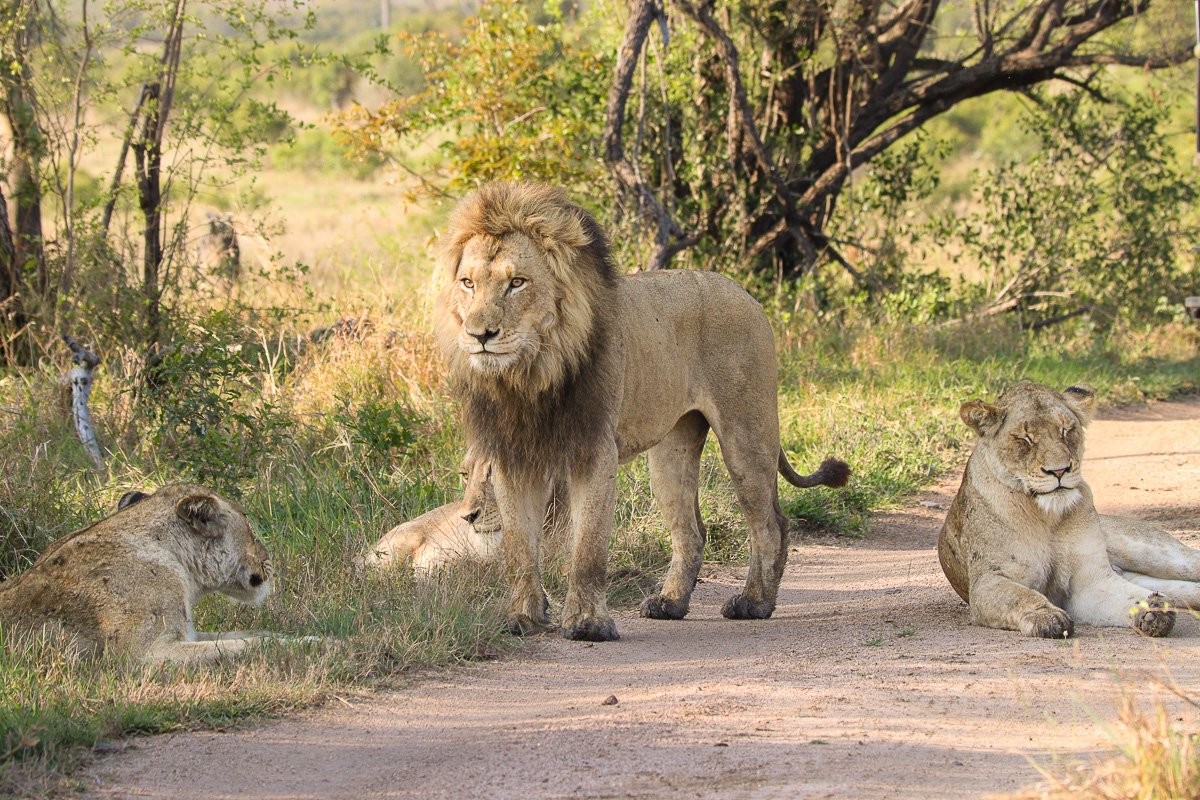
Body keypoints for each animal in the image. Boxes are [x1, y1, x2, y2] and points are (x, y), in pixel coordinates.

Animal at [0, 483, 285, 664]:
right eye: (247, 521)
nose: (269, 558)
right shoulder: (146, 653)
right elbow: (249, 645)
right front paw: (296, 644)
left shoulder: (186, 634)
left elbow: (248, 635)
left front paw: (285, 636)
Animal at [433, 181, 850, 641]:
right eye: (468, 283)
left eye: (517, 283)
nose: (479, 334)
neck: (531, 376)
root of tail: (744, 293)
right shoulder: (515, 456)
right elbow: (520, 549)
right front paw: (523, 619)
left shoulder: (594, 450)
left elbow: (588, 546)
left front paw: (588, 624)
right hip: (671, 452)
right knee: (692, 531)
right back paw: (670, 603)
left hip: (746, 435)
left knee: (770, 523)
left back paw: (753, 603)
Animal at [938, 381, 1200, 638]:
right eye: (1025, 438)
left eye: (1066, 430)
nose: (1059, 470)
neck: (1046, 516)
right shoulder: (988, 581)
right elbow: (1020, 596)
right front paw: (1047, 616)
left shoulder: (1091, 582)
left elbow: (1126, 597)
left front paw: (1153, 610)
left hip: (1154, 552)